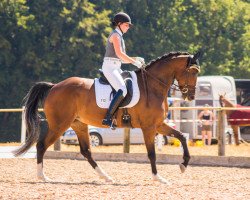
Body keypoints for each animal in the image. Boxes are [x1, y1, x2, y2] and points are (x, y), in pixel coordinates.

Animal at [13, 51, 201, 184]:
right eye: (192, 72)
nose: (191, 96)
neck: (153, 86)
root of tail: (54, 86)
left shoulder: (158, 124)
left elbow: (181, 136)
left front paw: (183, 165)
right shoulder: (149, 127)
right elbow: (152, 153)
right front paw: (158, 178)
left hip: (78, 124)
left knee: (86, 151)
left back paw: (106, 176)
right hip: (59, 125)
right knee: (41, 145)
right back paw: (42, 177)